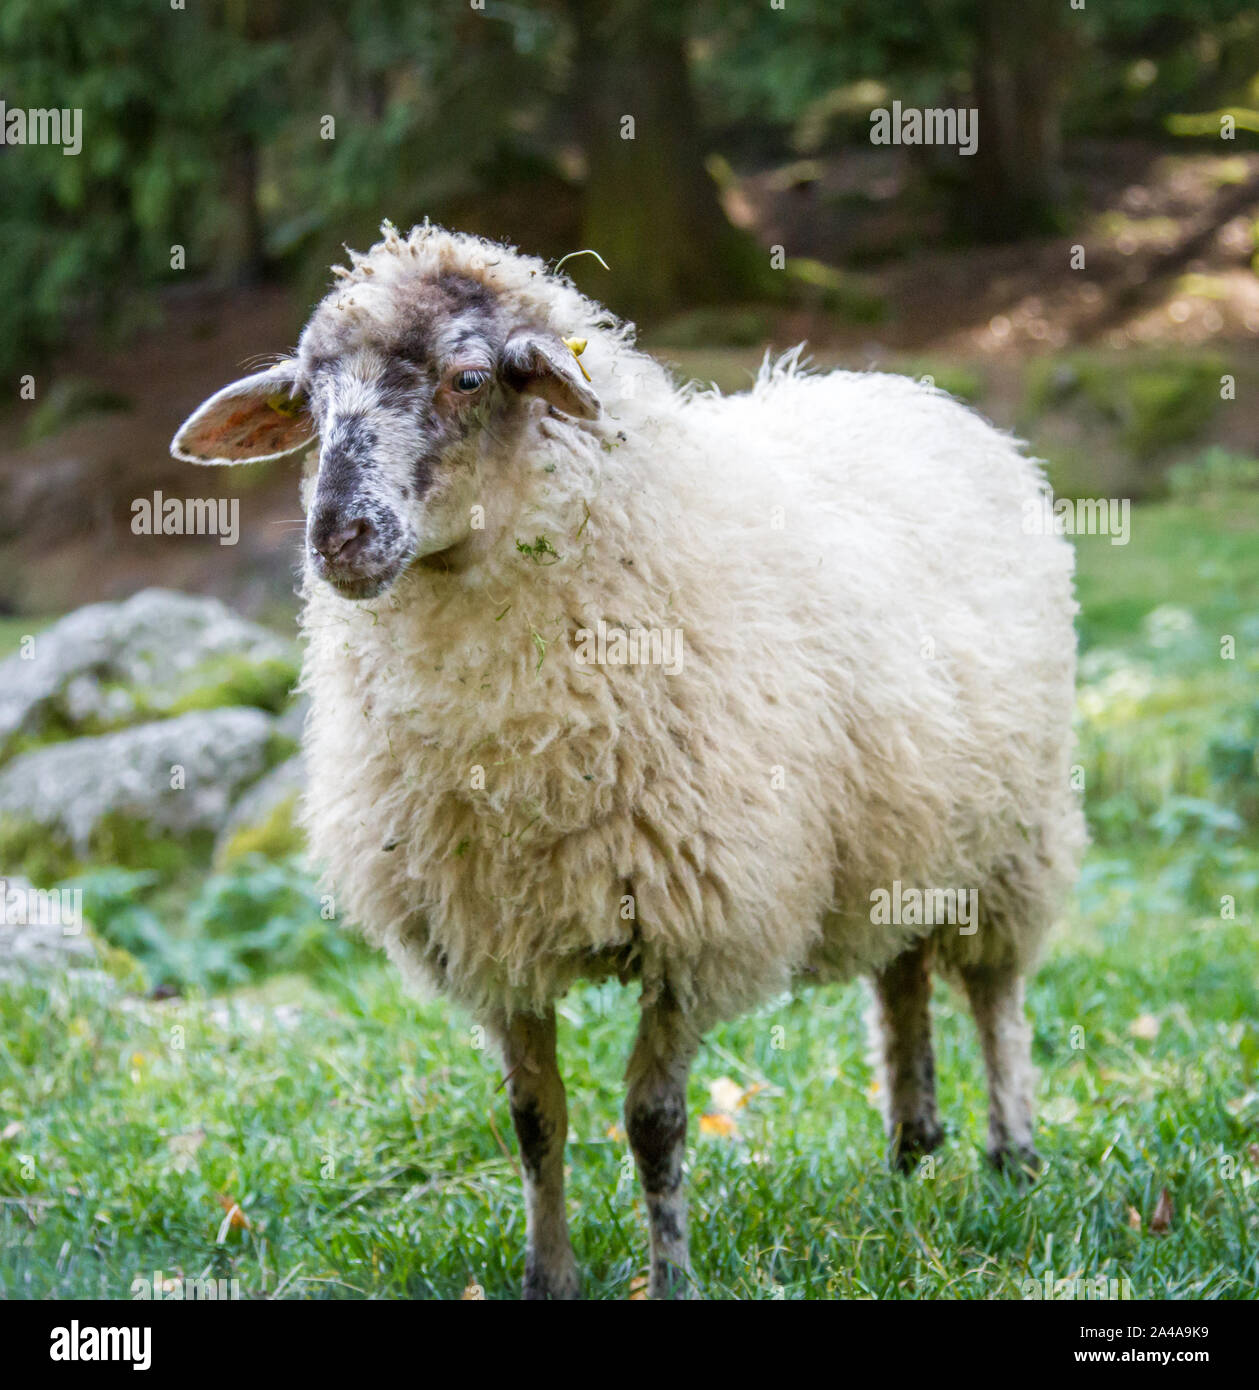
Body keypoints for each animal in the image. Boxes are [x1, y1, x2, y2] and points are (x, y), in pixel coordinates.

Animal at [171, 219, 1085, 1300]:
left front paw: (673, 1274)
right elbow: (534, 1121)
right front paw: (548, 1276)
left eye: (467, 378)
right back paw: (910, 1145)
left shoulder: (694, 923)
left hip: (1014, 831)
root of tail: (913, 391)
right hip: (902, 826)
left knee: (993, 993)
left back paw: (1010, 1151)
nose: (337, 537)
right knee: (899, 971)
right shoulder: (495, 938)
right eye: (308, 402)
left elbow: (653, 1122)